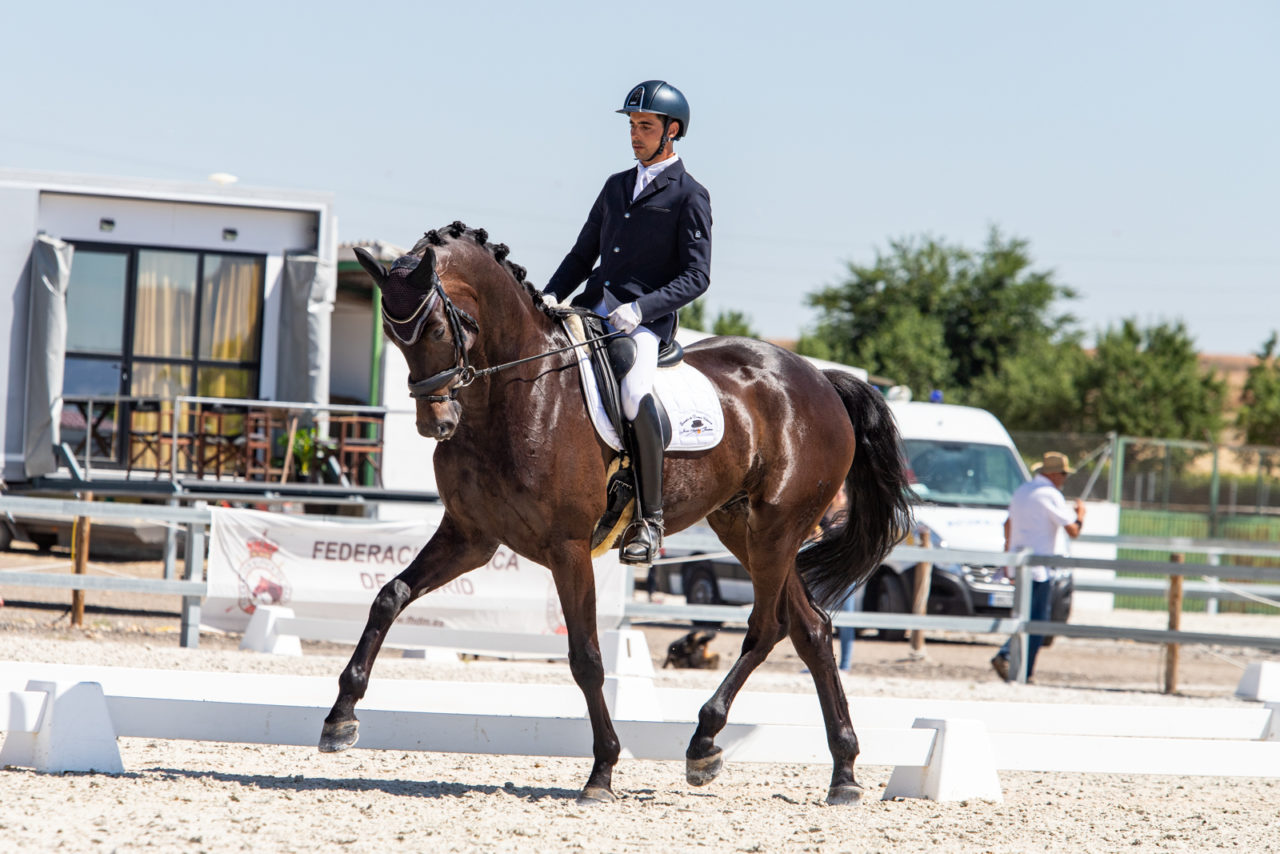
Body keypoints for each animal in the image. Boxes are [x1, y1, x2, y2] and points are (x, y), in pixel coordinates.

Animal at [325, 222, 916, 809]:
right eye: (393, 333)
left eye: (441, 327)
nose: (436, 423)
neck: (518, 393)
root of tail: (819, 378)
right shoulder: (470, 536)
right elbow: (389, 597)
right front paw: (340, 719)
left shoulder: (566, 547)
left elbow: (586, 657)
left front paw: (602, 772)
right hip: (744, 528)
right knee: (810, 628)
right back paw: (843, 772)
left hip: (777, 527)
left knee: (766, 627)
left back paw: (704, 743)